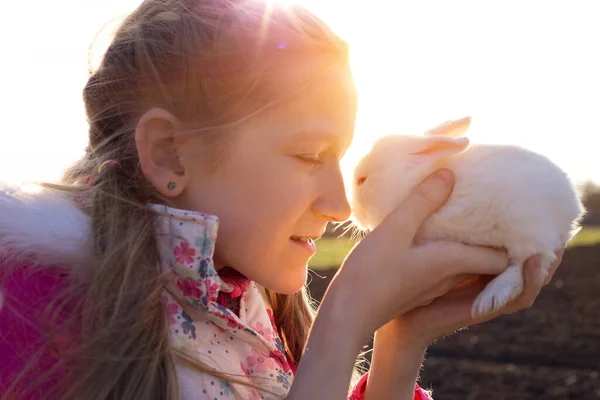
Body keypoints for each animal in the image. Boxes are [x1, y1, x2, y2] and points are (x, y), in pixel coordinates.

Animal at [350, 117, 584, 318]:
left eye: (362, 180)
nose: (355, 214)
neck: (415, 182)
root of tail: (572, 208)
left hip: (526, 229)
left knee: (528, 263)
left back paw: (489, 298)